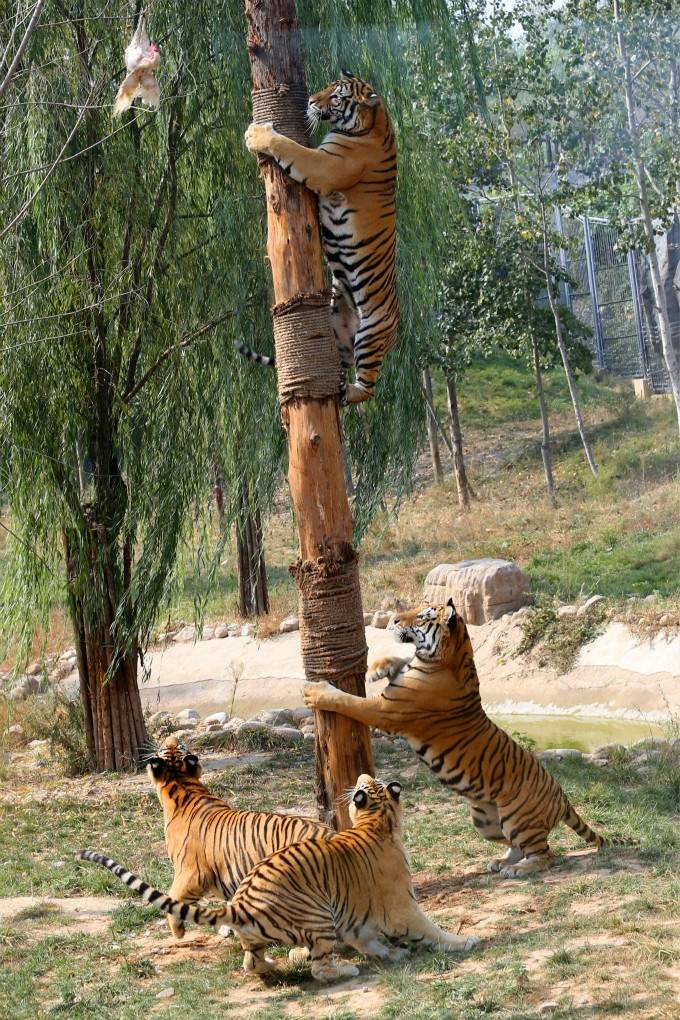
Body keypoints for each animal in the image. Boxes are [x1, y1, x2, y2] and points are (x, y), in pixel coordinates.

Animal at [78, 775, 479, 983]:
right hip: (319, 915)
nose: (362, 778)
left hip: (263, 935)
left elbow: (369, 939)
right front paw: (465, 941)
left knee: (253, 962)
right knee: (319, 967)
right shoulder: (400, 905)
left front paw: (391, 953)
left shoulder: (356, 917)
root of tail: (239, 904)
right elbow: (431, 929)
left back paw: (273, 967)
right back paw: (345, 969)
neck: (376, 821)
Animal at [146, 738, 332, 934]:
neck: (183, 783)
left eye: (166, 747)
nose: (172, 739)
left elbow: (173, 900)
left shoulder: (191, 873)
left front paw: (178, 932)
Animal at [303, 599, 632, 881]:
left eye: (421, 616)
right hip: (485, 821)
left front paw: (315, 691)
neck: (450, 655)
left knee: (545, 854)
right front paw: (376, 667)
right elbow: (395, 660)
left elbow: (348, 701)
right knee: (517, 845)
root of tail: (562, 797)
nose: (394, 620)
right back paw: (501, 862)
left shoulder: (387, 711)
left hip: (518, 818)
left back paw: (518, 870)